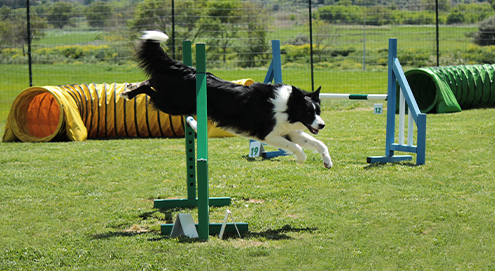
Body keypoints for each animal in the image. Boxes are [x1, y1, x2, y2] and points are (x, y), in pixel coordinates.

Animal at [120, 30, 334, 169]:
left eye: (318, 111)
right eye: (308, 111)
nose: (322, 125)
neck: (286, 107)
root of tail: (185, 69)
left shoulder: (290, 131)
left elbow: (319, 143)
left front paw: (327, 161)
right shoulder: (268, 134)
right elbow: (296, 147)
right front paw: (301, 159)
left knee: (151, 82)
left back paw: (128, 88)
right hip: (171, 103)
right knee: (150, 86)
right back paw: (128, 92)